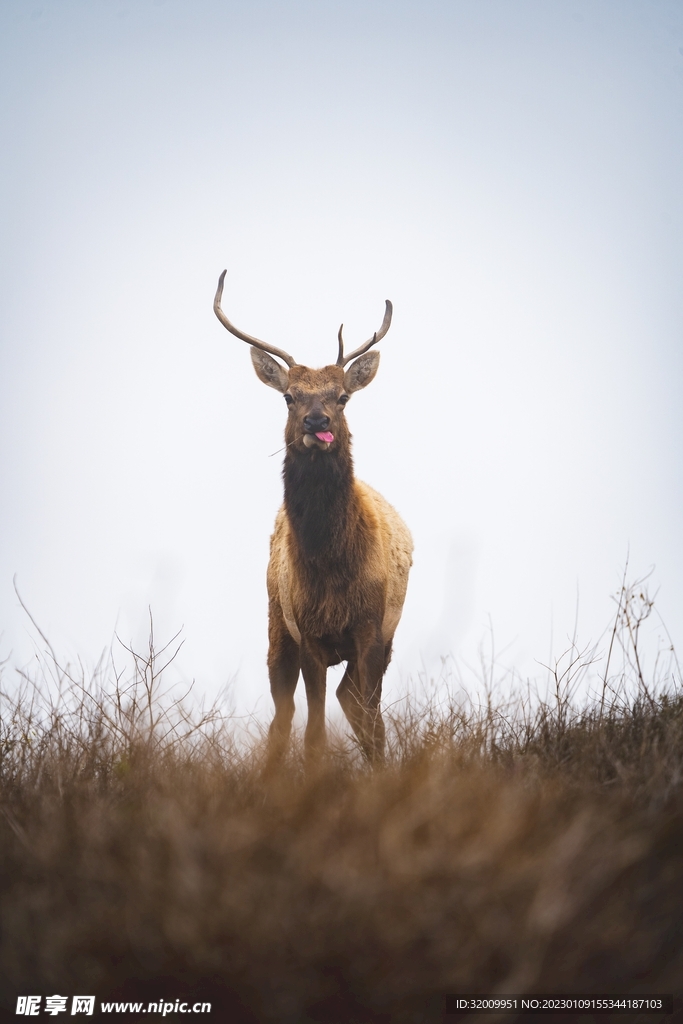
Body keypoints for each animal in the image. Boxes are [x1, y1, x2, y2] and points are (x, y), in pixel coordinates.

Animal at [213, 271, 413, 765]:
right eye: (289, 397)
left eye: (342, 397)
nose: (317, 421)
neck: (332, 568)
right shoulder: (306, 633)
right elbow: (314, 734)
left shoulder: (371, 629)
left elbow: (372, 723)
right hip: (275, 626)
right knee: (283, 717)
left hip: (383, 640)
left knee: (356, 705)